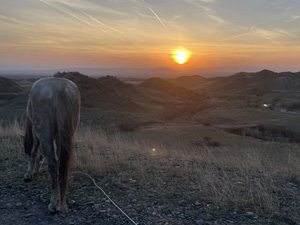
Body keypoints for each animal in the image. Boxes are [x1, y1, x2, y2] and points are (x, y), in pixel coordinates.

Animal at [23, 77, 80, 213]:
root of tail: (60, 89)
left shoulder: (36, 131)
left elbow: (34, 151)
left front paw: (29, 174)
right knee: (61, 163)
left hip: (44, 132)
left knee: (53, 165)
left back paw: (53, 204)